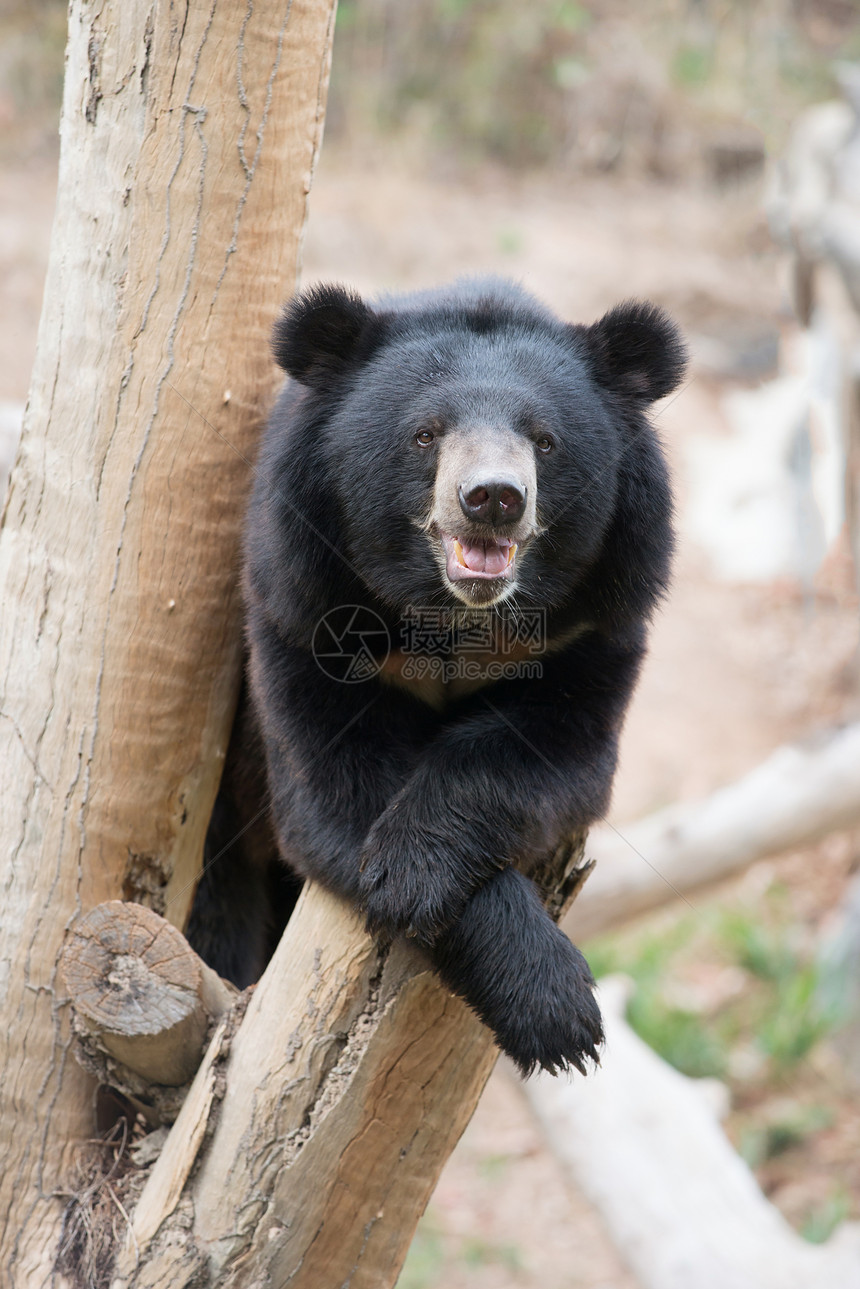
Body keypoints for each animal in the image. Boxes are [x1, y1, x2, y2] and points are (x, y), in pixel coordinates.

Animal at [193, 277, 685, 1072]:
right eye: (426, 434)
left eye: (544, 440)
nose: (494, 498)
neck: (454, 617)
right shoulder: (301, 607)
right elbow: (332, 787)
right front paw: (557, 1009)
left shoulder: (595, 627)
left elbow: (548, 755)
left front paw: (416, 868)